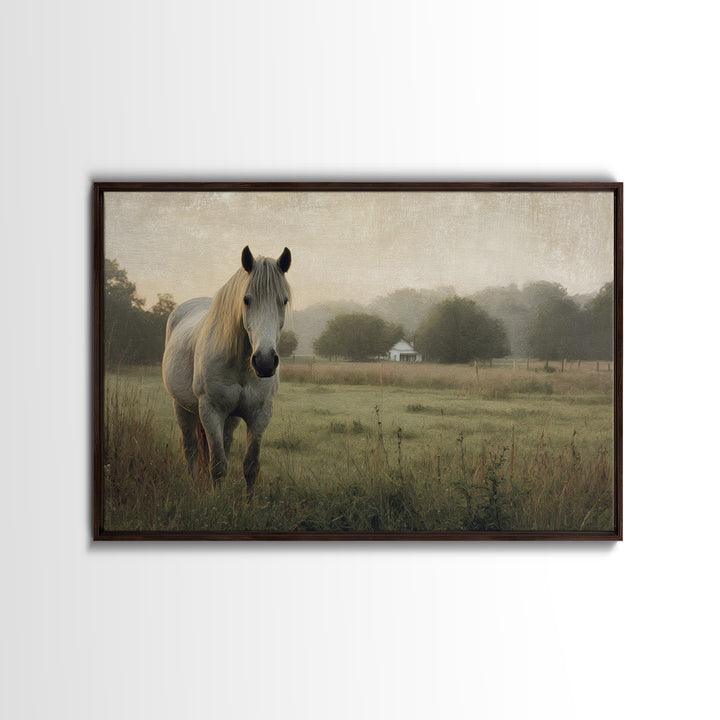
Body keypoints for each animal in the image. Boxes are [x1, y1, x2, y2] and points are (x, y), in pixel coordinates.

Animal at [161, 246, 292, 498]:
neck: (241, 365)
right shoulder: (211, 411)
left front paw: (248, 504)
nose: (264, 362)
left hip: (230, 418)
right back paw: (195, 489)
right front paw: (217, 501)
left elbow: (250, 465)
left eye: (283, 301)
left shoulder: (260, 414)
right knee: (191, 449)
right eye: (246, 300)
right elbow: (218, 465)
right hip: (182, 408)